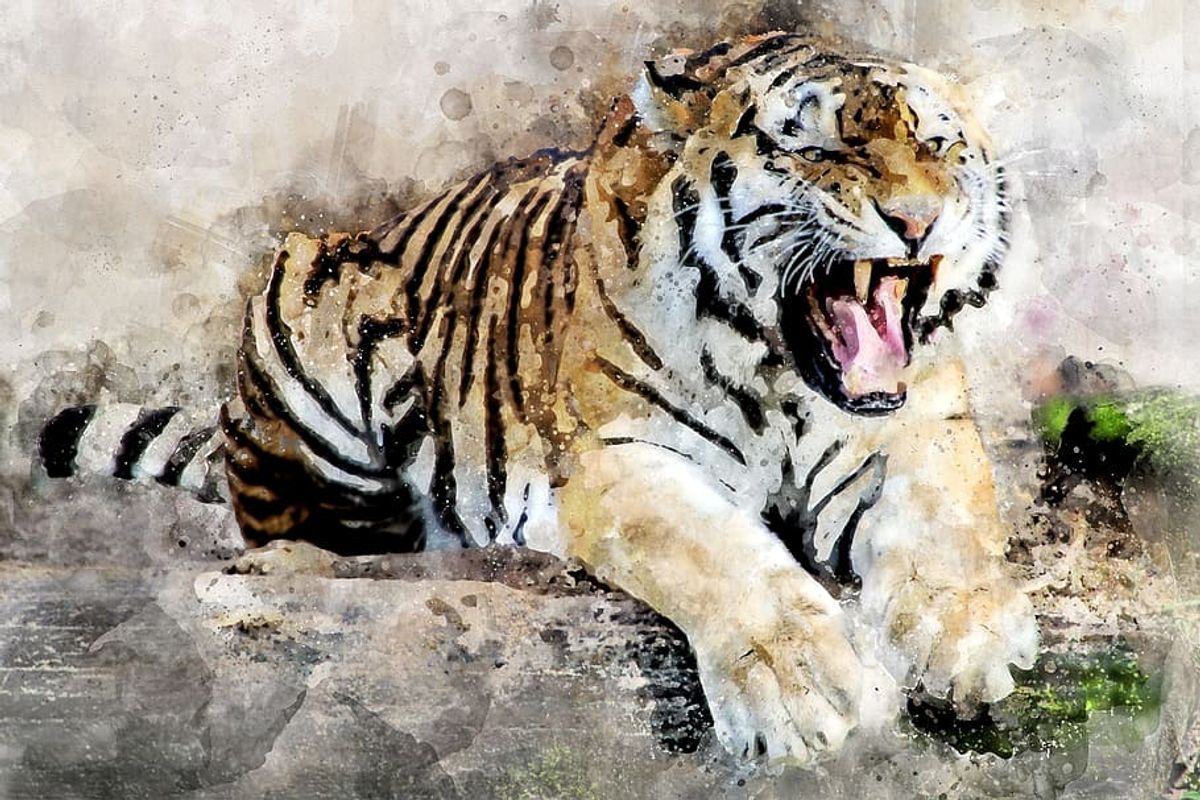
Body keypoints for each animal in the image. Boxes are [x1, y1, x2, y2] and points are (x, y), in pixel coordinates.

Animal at [37, 32, 1038, 764]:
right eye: (819, 144)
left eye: (938, 142)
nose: (919, 219)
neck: (783, 374)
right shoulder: (621, 462)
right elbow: (723, 558)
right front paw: (809, 690)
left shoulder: (918, 427)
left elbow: (950, 521)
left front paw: (967, 638)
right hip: (306, 297)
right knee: (308, 526)